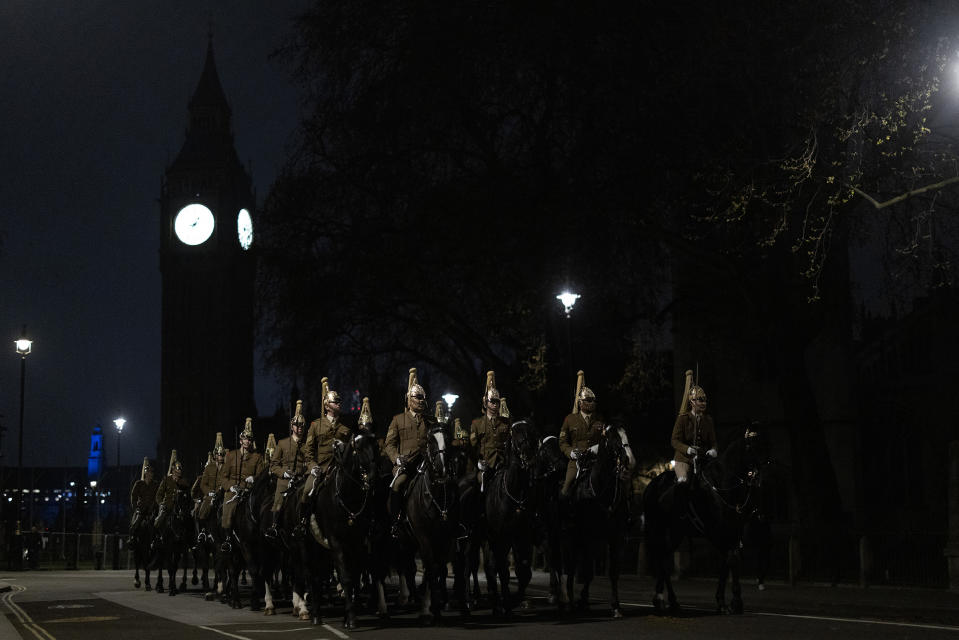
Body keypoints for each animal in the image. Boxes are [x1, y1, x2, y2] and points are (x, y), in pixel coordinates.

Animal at [480, 420, 540, 616]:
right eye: (515, 434)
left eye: (532, 432)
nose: (529, 457)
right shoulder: (501, 537)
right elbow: (503, 570)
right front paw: (507, 602)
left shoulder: (522, 536)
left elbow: (524, 571)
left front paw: (515, 600)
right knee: (491, 567)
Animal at [564, 422, 636, 616]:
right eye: (613, 438)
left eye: (626, 435)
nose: (629, 459)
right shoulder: (589, 536)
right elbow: (588, 570)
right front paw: (582, 600)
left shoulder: (615, 537)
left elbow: (613, 572)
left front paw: (616, 606)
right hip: (573, 537)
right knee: (570, 565)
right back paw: (569, 599)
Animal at [640, 430, 768, 616]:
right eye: (751, 446)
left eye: (766, 444)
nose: (759, 478)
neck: (722, 486)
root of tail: (651, 485)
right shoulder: (716, 532)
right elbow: (732, 559)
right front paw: (735, 602)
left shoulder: (733, 532)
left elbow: (729, 560)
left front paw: (724, 602)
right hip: (660, 529)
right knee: (662, 558)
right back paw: (664, 599)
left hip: (676, 533)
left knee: (663, 558)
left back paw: (667, 600)